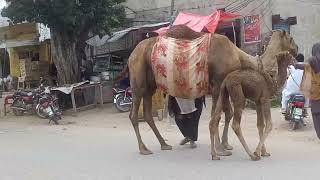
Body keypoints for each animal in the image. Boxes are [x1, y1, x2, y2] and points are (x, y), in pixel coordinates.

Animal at [125, 24, 298, 155]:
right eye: (290, 38)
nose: (297, 49)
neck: (238, 56)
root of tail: (131, 55)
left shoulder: (225, 86)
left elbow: (227, 114)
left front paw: (225, 145)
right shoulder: (218, 84)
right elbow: (218, 115)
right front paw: (220, 149)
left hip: (150, 86)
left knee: (148, 114)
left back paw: (164, 144)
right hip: (137, 80)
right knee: (133, 113)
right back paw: (143, 149)